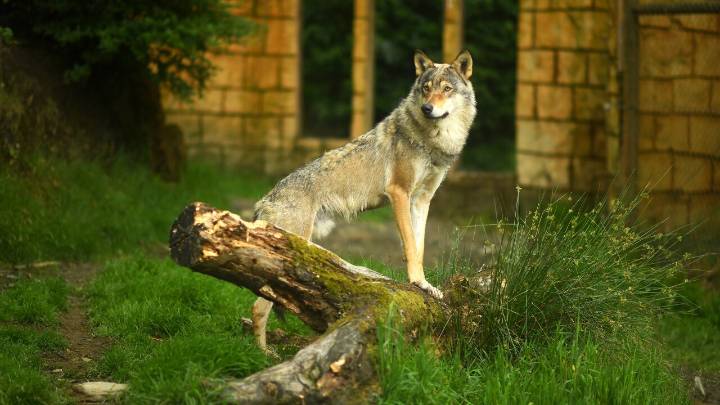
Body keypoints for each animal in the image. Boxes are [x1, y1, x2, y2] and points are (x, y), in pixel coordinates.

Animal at [251, 50, 476, 350]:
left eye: (447, 89)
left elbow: (419, 247)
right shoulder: (399, 193)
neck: (434, 140)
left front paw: (424, 285)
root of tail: (263, 201)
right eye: (426, 88)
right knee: (257, 307)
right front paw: (417, 282)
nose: (428, 108)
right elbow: (410, 247)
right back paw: (263, 354)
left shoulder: (422, 200)